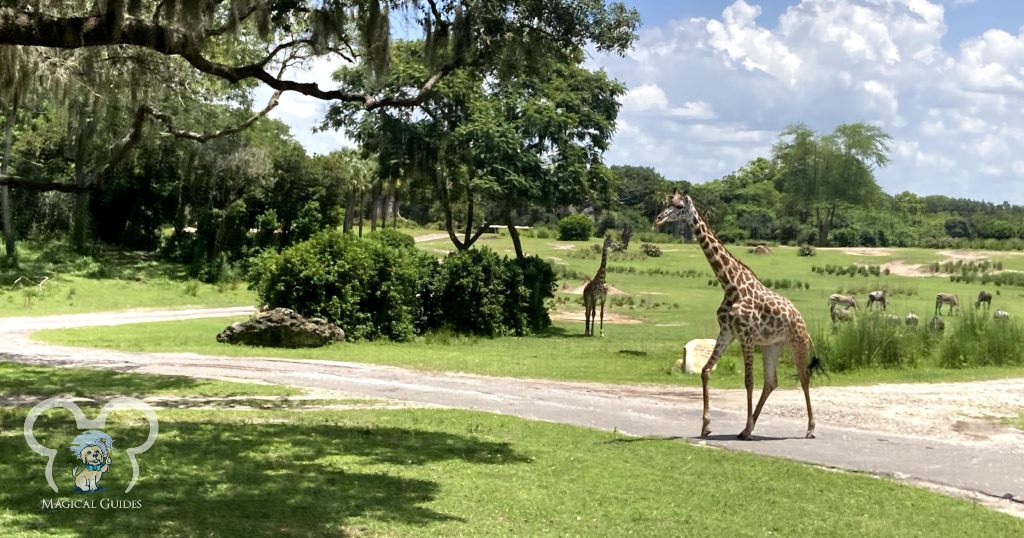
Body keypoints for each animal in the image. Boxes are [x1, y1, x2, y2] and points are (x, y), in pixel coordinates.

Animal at [655, 192, 815, 440]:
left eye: (679, 206)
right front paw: (706, 426)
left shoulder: (746, 336)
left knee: (804, 376)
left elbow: (748, 381)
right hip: (772, 345)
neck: (730, 285)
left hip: (797, 341)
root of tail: (800, 317)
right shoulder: (727, 332)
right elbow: (705, 370)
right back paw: (748, 427)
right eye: (666, 203)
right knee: (771, 382)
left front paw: (740, 428)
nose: (659, 218)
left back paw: (809, 429)